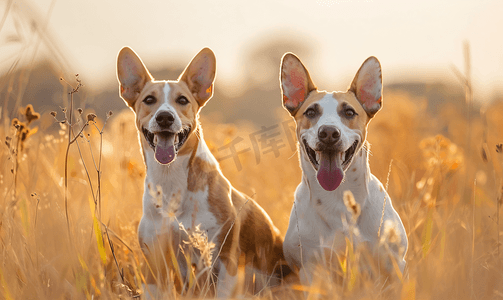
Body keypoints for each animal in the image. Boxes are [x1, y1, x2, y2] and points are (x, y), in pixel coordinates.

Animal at [115, 47, 286, 298]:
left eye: (182, 100)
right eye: (149, 100)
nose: (164, 117)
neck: (170, 180)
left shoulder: (225, 261)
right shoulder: (154, 266)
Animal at [282, 53, 408, 282]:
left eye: (349, 112)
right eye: (310, 112)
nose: (329, 133)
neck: (337, 196)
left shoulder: (394, 265)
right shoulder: (310, 268)